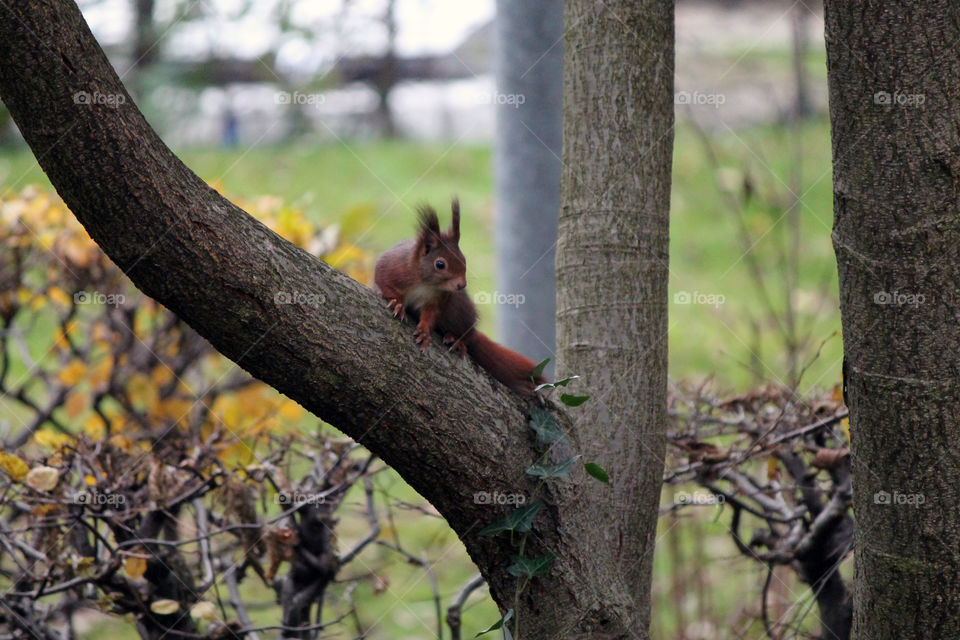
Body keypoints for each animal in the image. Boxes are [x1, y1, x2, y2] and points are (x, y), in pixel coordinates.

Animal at [373, 199, 544, 396]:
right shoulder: (392, 267)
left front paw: (424, 330)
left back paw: (457, 339)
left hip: (458, 309)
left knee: (468, 334)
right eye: (440, 264)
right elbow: (383, 281)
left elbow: (431, 314)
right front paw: (397, 303)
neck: (426, 283)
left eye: (464, 260)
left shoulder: (439, 299)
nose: (462, 285)